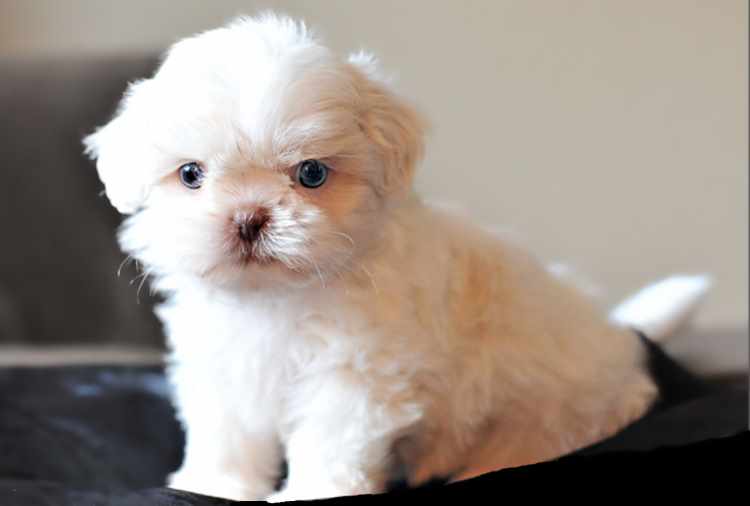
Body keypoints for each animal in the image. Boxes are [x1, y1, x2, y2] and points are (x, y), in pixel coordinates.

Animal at [83, 12, 712, 502]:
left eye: (311, 174)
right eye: (191, 174)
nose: (249, 218)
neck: (276, 297)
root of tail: (620, 337)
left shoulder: (355, 370)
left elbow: (331, 438)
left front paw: (312, 494)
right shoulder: (222, 366)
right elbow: (225, 433)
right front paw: (212, 486)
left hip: (550, 415)